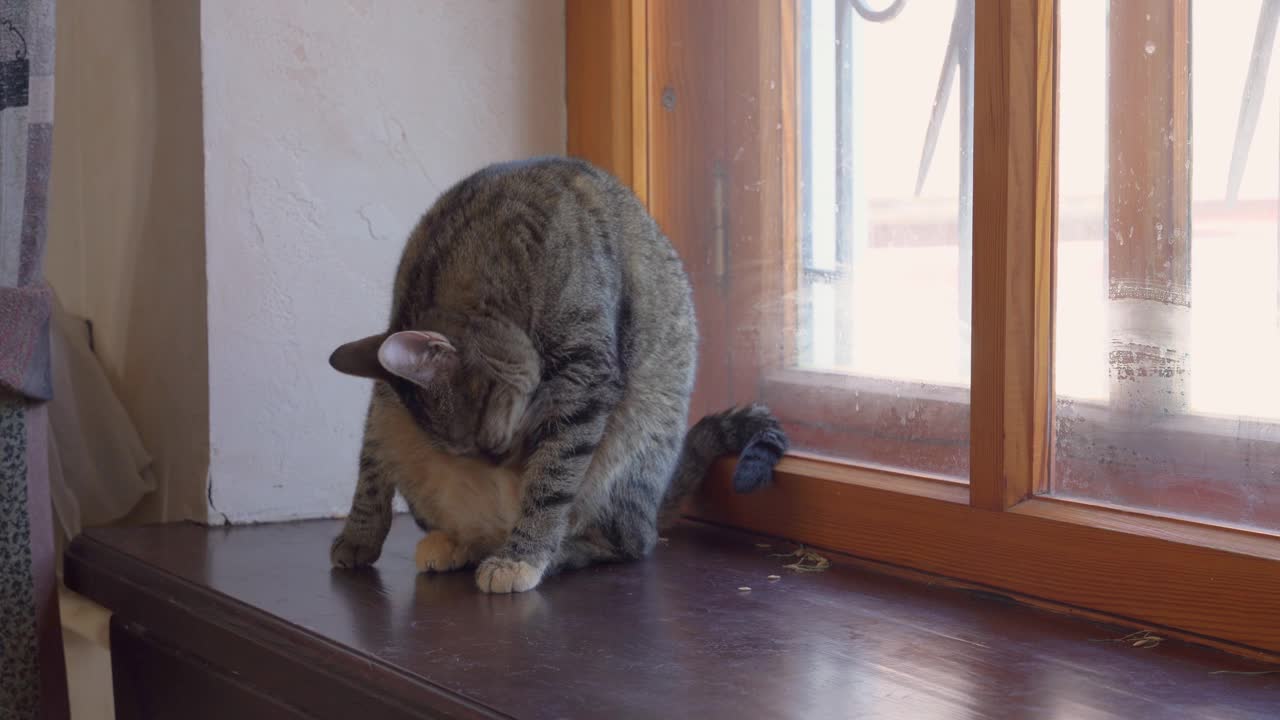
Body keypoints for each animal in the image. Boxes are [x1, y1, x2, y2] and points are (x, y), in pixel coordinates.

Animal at [327, 155, 788, 589]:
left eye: (483, 430)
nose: (499, 463)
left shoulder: (584, 376)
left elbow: (552, 479)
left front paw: (522, 558)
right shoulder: (385, 400)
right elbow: (370, 467)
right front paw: (358, 537)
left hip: (630, 446)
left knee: (631, 542)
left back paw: (551, 552)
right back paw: (455, 544)